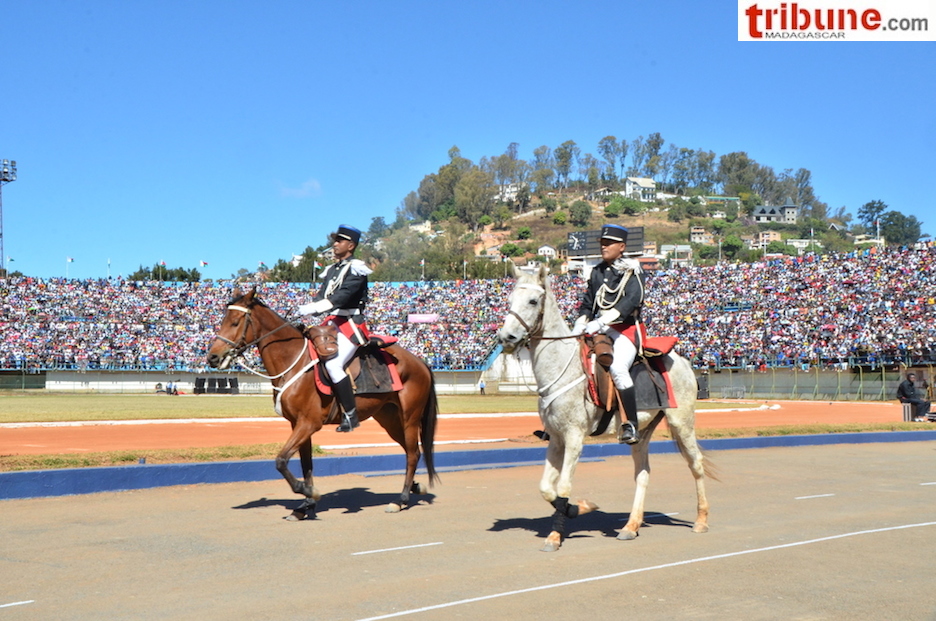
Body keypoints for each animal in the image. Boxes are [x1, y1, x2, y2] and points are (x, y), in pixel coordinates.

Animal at [206, 288, 439, 519]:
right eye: (223, 320)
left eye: (235, 322)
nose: (212, 358)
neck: (293, 361)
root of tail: (420, 362)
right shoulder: (298, 424)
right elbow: (306, 464)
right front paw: (305, 506)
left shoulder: (309, 423)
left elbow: (281, 461)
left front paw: (308, 492)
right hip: (389, 419)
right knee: (412, 451)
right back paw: (414, 487)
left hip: (410, 417)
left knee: (413, 454)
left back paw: (401, 500)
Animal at [497, 264, 714, 551]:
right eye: (510, 300)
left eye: (533, 301)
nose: (506, 337)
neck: (561, 365)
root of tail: (683, 361)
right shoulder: (555, 438)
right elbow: (546, 488)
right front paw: (576, 510)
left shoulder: (574, 437)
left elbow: (563, 487)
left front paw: (557, 533)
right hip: (642, 432)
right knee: (642, 473)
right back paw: (630, 526)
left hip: (682, 421)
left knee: (696, 464)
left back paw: (701, 520)